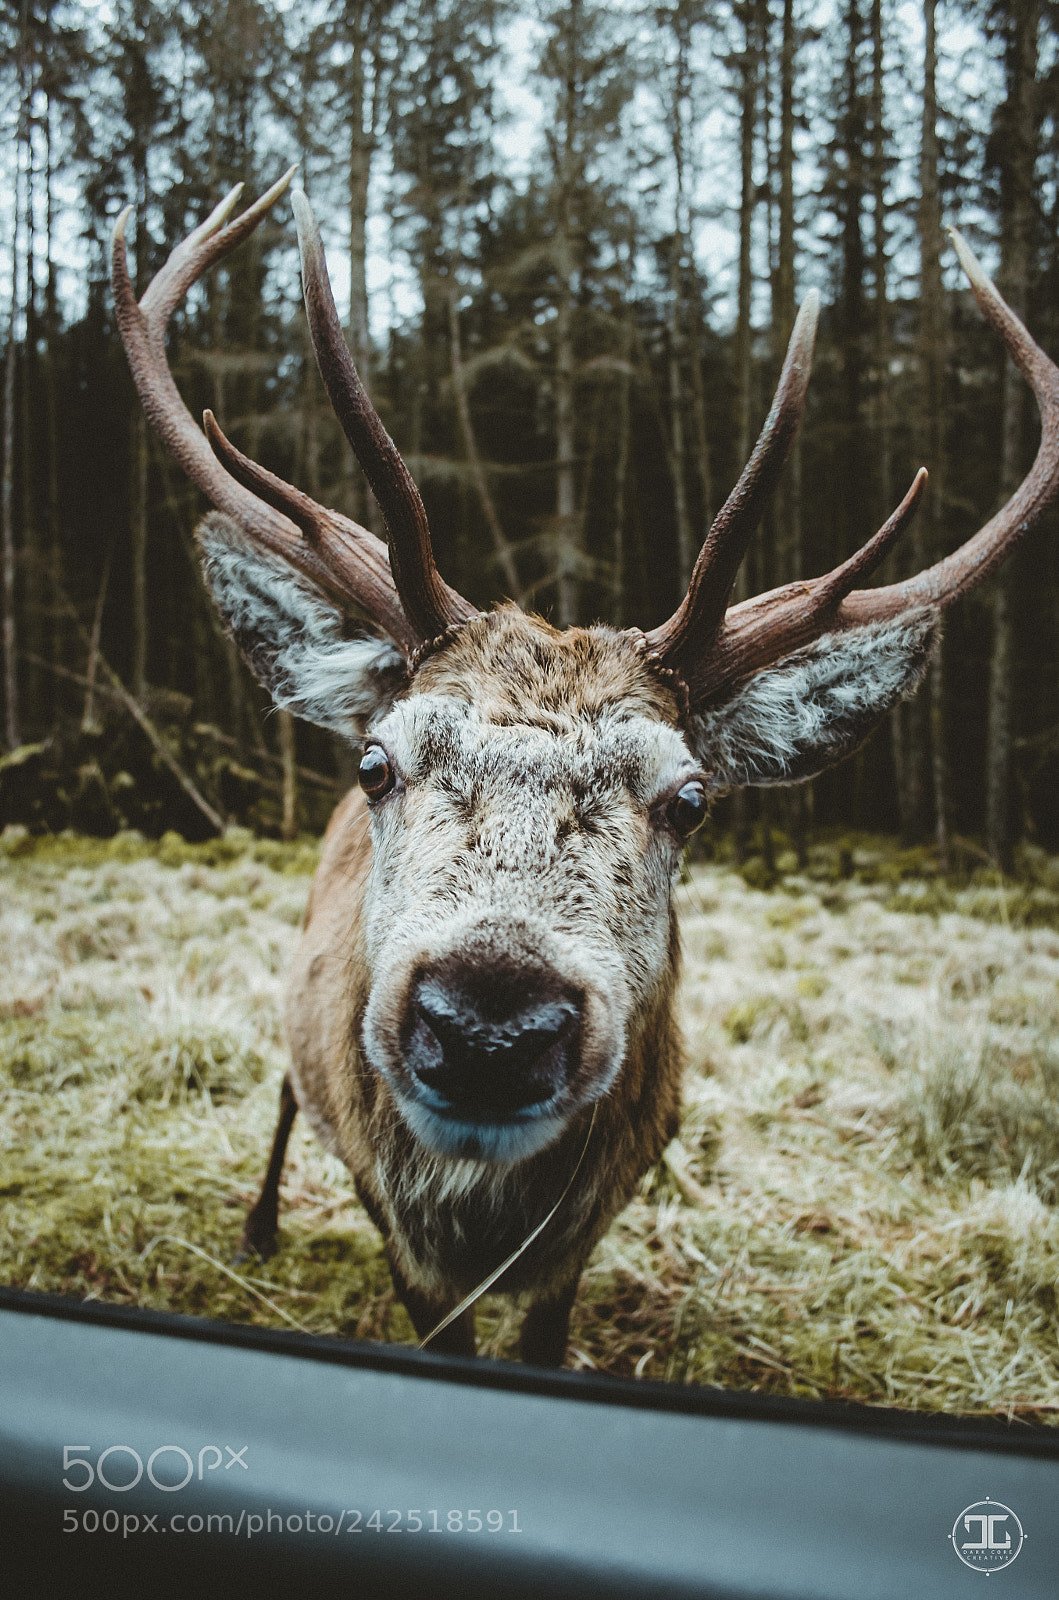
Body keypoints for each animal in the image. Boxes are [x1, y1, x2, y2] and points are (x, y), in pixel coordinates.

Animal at [112, 168, 1059, 1367]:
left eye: (689, 800)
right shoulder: (394, 1225)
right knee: (284, 1084)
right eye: (378, 763)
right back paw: (261, 1224)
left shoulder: (602, 1213)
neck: (481, 1222)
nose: (489, 1026)